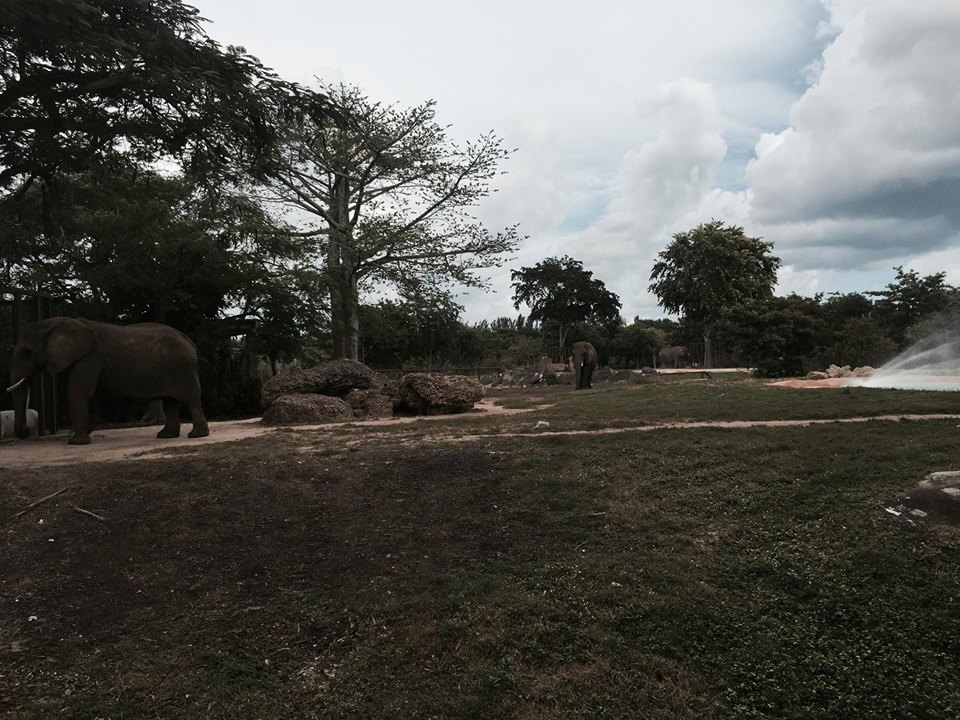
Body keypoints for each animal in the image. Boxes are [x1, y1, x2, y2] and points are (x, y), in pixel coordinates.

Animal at [7, 317, 209, 445]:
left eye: (26, 352)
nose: (27, 430)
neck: (54, 323)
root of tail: (190, 342)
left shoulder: (89, 358)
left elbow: (78, 390)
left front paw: (76, 442)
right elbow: (92, 393)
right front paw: (88, 429)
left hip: (182, 366)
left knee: (190, 399)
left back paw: (196, 435)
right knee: (171, 401)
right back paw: (166, 436)